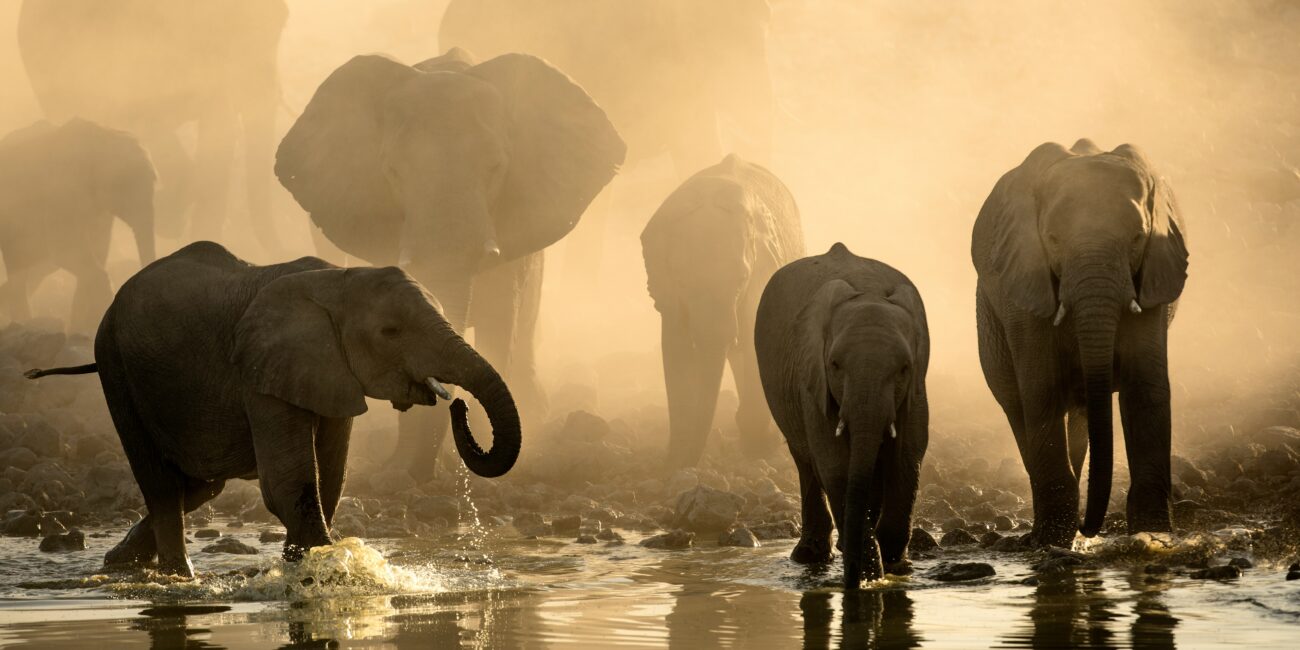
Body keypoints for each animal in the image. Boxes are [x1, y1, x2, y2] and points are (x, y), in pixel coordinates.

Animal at [0, 119, 156, 332]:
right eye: (125, 186)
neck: (104, 137)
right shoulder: (61, 190)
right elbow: (66, 251)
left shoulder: (99, 211)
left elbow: (97, 251)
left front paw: (81, 330)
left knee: (34, 269)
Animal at [24, 241, 520, 578]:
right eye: (391, 331)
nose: (458, 404)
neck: (339, 279)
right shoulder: (261, 371)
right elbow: (288, 484)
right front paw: (326, 568)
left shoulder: (329, 372)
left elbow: (331, 478)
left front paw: (304, 564)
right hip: (116, 366)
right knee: (163, 486)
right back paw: (178, 578)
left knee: (199, 486)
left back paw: (118, 563)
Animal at [641, 154, 804, 468]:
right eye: (682, 281)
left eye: (741, 279)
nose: (689, 462)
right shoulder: (669, 293)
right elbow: (676, 347)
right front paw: (675, 460)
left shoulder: (760, 276)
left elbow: (754, 339)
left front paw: (759, 448)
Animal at [755, 243, 930, 589]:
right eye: (835, 365)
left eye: (903, 368)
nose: (850, 582)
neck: (868, 290)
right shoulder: (813, 381)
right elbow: (834, 462)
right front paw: (869, 574)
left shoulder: (917, 387)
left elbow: (907, 455)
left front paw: (894, 567)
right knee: (806, 460)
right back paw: (811, 556)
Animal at [972, 139, 1188, 547]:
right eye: (1053, 240)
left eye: (1138, 238)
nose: (1092, 526)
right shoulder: (1025, 281)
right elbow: (1040, 388)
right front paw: (1052, 542)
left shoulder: (1153, 275)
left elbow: (1145, 387)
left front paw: (1153, 537)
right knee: (1015, 403)